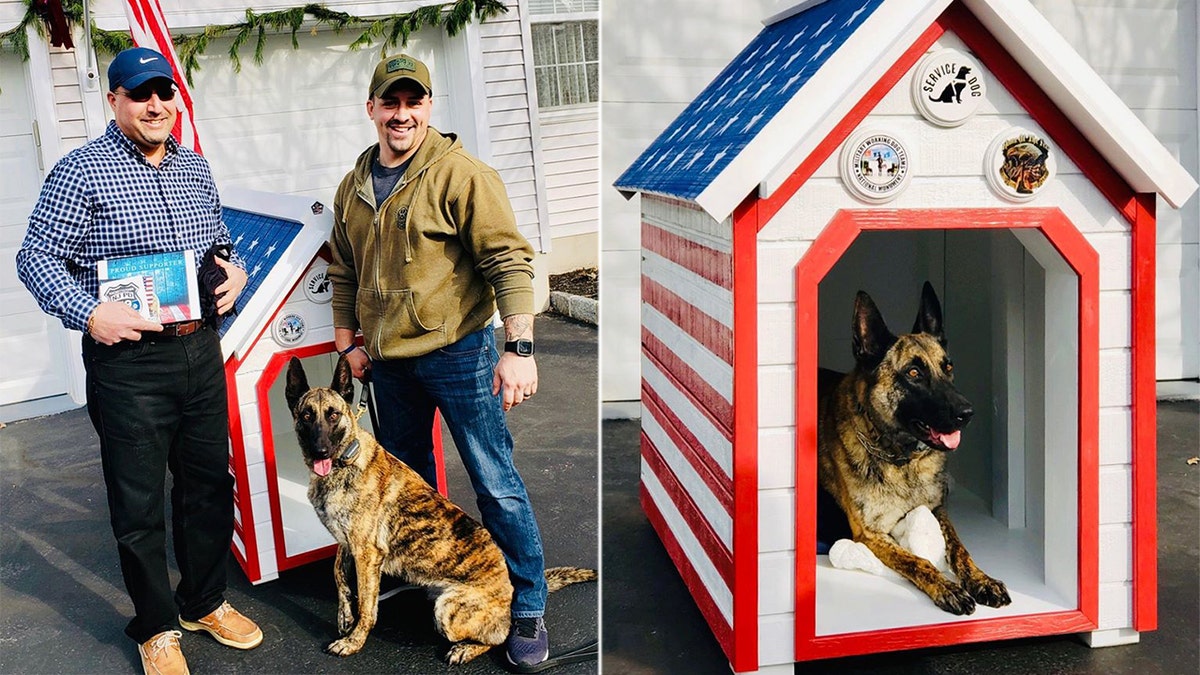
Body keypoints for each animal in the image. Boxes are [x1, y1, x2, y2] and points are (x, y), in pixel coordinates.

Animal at [816, 281, 1012, 612]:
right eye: (913, 373)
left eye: (948, 367)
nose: (967, 413)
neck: (901, 459)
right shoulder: (870, 533)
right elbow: (916, 561)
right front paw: (947, 587)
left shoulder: (937, 510)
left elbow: (959, 549)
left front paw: (981, 579)